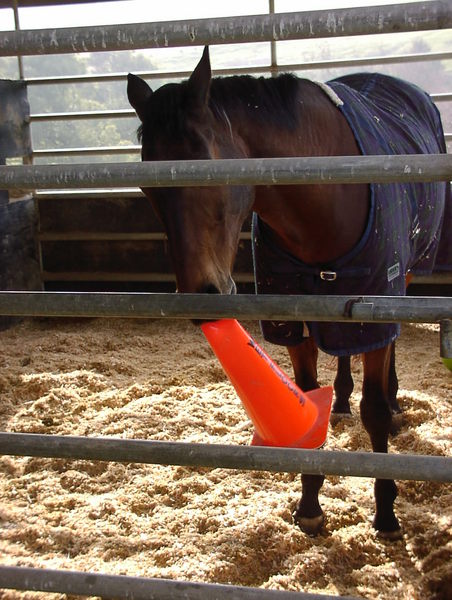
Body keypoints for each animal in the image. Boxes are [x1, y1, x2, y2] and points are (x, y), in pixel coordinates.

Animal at [127, 46, 448, 539]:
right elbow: (307, 397)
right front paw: (311, 504)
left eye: (210, 170)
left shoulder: (375, 306)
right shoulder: (294, 319)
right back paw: (340, 401)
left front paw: (386, 512)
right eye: (147, 185)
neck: (325, 197)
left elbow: (374, 407)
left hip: (403, 280)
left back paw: (393, 404)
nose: (203, 293)